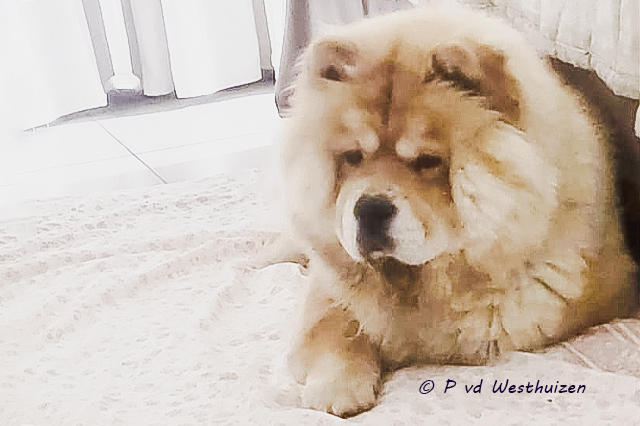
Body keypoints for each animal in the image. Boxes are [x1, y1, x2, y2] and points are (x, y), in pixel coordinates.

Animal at [275, 6, 638, 417]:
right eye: (352, 157)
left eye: (427, 161)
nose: (369, 208)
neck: (413, 283)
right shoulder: (329, 291)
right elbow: (334, 330)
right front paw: (337, 388)